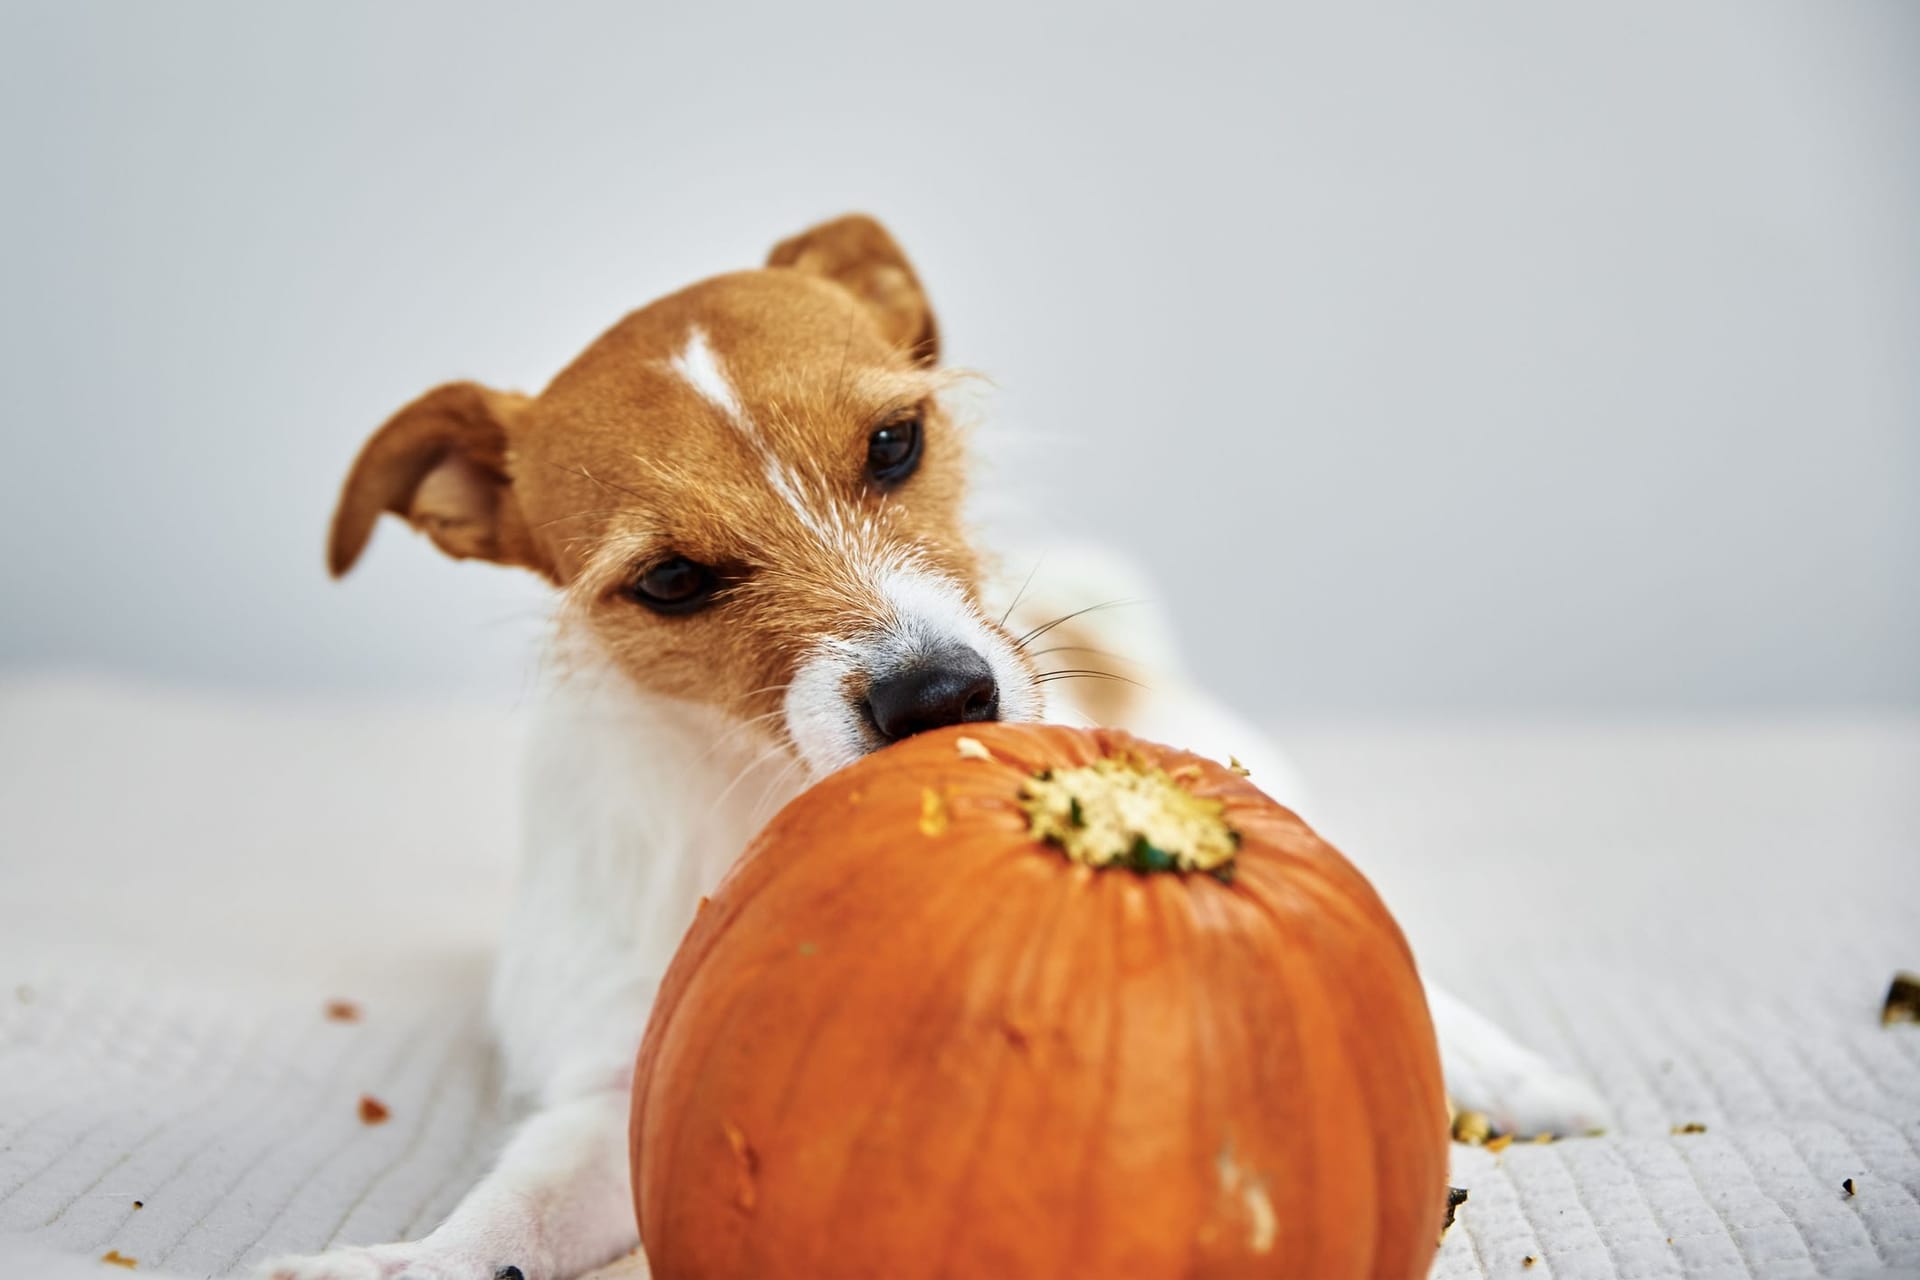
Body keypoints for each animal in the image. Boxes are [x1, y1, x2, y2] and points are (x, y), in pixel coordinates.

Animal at [259, 214, 1605, 1274]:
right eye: (674, 579)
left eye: (895, 443)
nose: (940, 694)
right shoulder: (617, 1088)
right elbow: (517, 1209)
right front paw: (406, 1261)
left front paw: (1503, 1070)